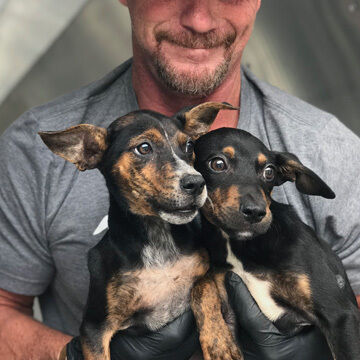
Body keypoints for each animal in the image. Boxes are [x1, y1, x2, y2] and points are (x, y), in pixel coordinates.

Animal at [38, 102, 239, 360]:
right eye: (144, 148)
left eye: (188, 146)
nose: (197, 183)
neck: (158, 238)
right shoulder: (94, 328)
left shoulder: (206, 272)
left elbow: (202, 290)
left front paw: (219, 342)